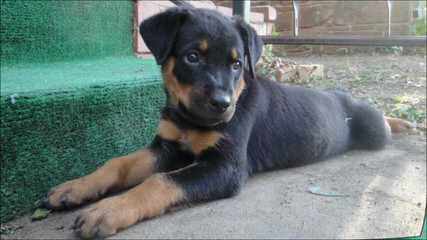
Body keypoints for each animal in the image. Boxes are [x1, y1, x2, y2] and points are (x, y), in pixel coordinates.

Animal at [41, 7, 412, 238]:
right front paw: (74, 188)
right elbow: (118, 163)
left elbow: (159, 182)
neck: (188, 118)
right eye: (192, 57)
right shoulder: (166, 145)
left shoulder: (227, 166)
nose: (222, 105)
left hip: (374, 131)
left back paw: (400, 123)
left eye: (236, 64)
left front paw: (108, 211)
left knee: (382, 122)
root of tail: (342, 97)